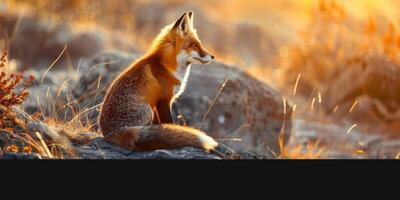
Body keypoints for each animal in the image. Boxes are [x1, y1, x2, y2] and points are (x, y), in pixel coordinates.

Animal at [99, 11, 228, 156]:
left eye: (199, 44)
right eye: (194, 45)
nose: (212, 56)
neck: (167, 66)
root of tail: (109, 133)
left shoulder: (157, 103)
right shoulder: (164, 99)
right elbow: (169, 123)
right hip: (147, 110)